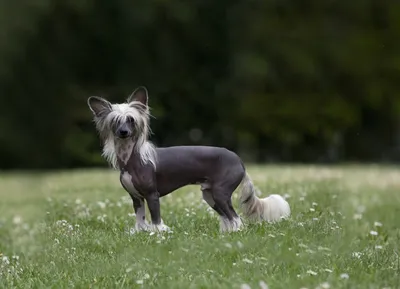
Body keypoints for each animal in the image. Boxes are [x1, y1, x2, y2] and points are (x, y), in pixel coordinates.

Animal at [87, 86, 290, 233]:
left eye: (131, 120)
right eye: (115, 122)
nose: (123, 132)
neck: (131, 159)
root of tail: (239, 160)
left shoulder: (152, 195)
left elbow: (156, 218)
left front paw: (158, 233)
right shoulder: (136, 198)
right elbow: (140, 218)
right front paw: (140, 232)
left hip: (220, 192)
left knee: (235, 218)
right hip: (210, 195)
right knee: (227, 217)